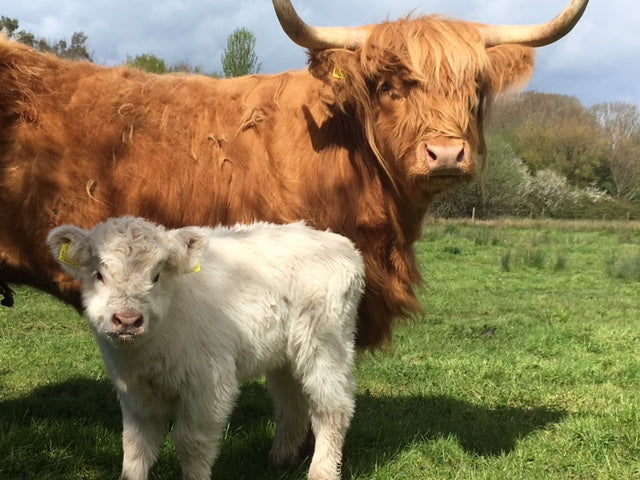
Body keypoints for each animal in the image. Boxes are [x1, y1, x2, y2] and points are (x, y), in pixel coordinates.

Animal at [47, 216, 365, 480]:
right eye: (99, 274)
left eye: (156, 276)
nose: (127, 320)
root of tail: (337, 241)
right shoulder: (134, 392)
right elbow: (135, 446)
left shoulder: (208, 384)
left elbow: (191, 443)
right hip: (285, 355)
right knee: (290, 400)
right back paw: (281, 457)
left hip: (327, 343)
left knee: (331, 406)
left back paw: (322, 471)